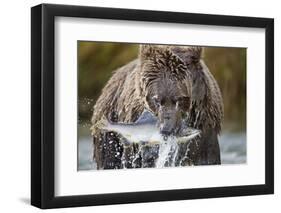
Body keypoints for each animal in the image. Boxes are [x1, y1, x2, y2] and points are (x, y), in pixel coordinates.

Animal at [91, 44, 222, 169]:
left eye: (179, 99)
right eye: (156, 100)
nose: (166, 129)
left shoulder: (204, 131)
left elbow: (207, 157)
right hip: (110, 133)